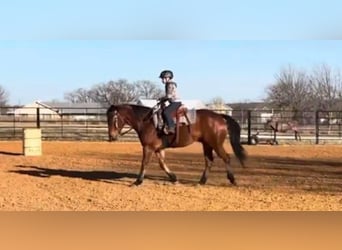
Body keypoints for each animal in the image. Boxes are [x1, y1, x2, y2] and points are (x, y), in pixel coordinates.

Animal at [106, 103, 246, 186]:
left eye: (114, 118)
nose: (111, 136)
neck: (147, 122)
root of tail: (220, 117)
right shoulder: (158, 149)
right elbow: (162, 164)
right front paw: (173, 177)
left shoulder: (148, 147)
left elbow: (144, 163)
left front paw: (138, 181)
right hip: (207, 144)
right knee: (209, 161)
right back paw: (201, 181)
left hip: (215, 143)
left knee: (226, 157)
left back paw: (232, 180)